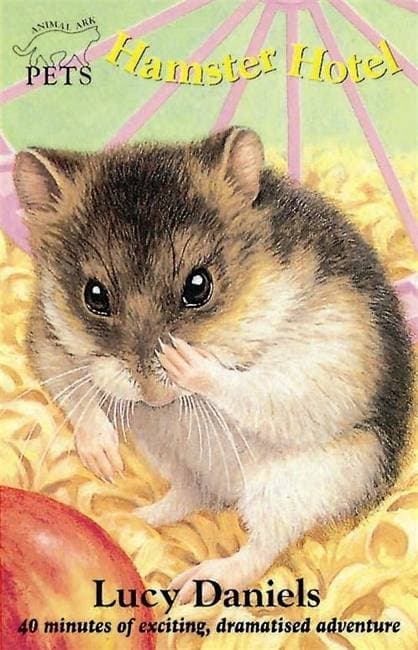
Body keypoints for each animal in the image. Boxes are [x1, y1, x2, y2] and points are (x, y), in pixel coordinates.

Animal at [13, 127, 413, 603]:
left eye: (198, 286)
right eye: (94, 296)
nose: (153, 397)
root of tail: (229, 490)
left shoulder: (326, 356)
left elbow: (259, 389)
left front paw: (186, 361)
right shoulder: (48, 338)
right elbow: (72, 387)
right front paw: (104, 461)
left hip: (300, 485)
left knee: (260, 548)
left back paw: (195, 583)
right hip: (166, 449)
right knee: (191, 494)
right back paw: (133, 517)